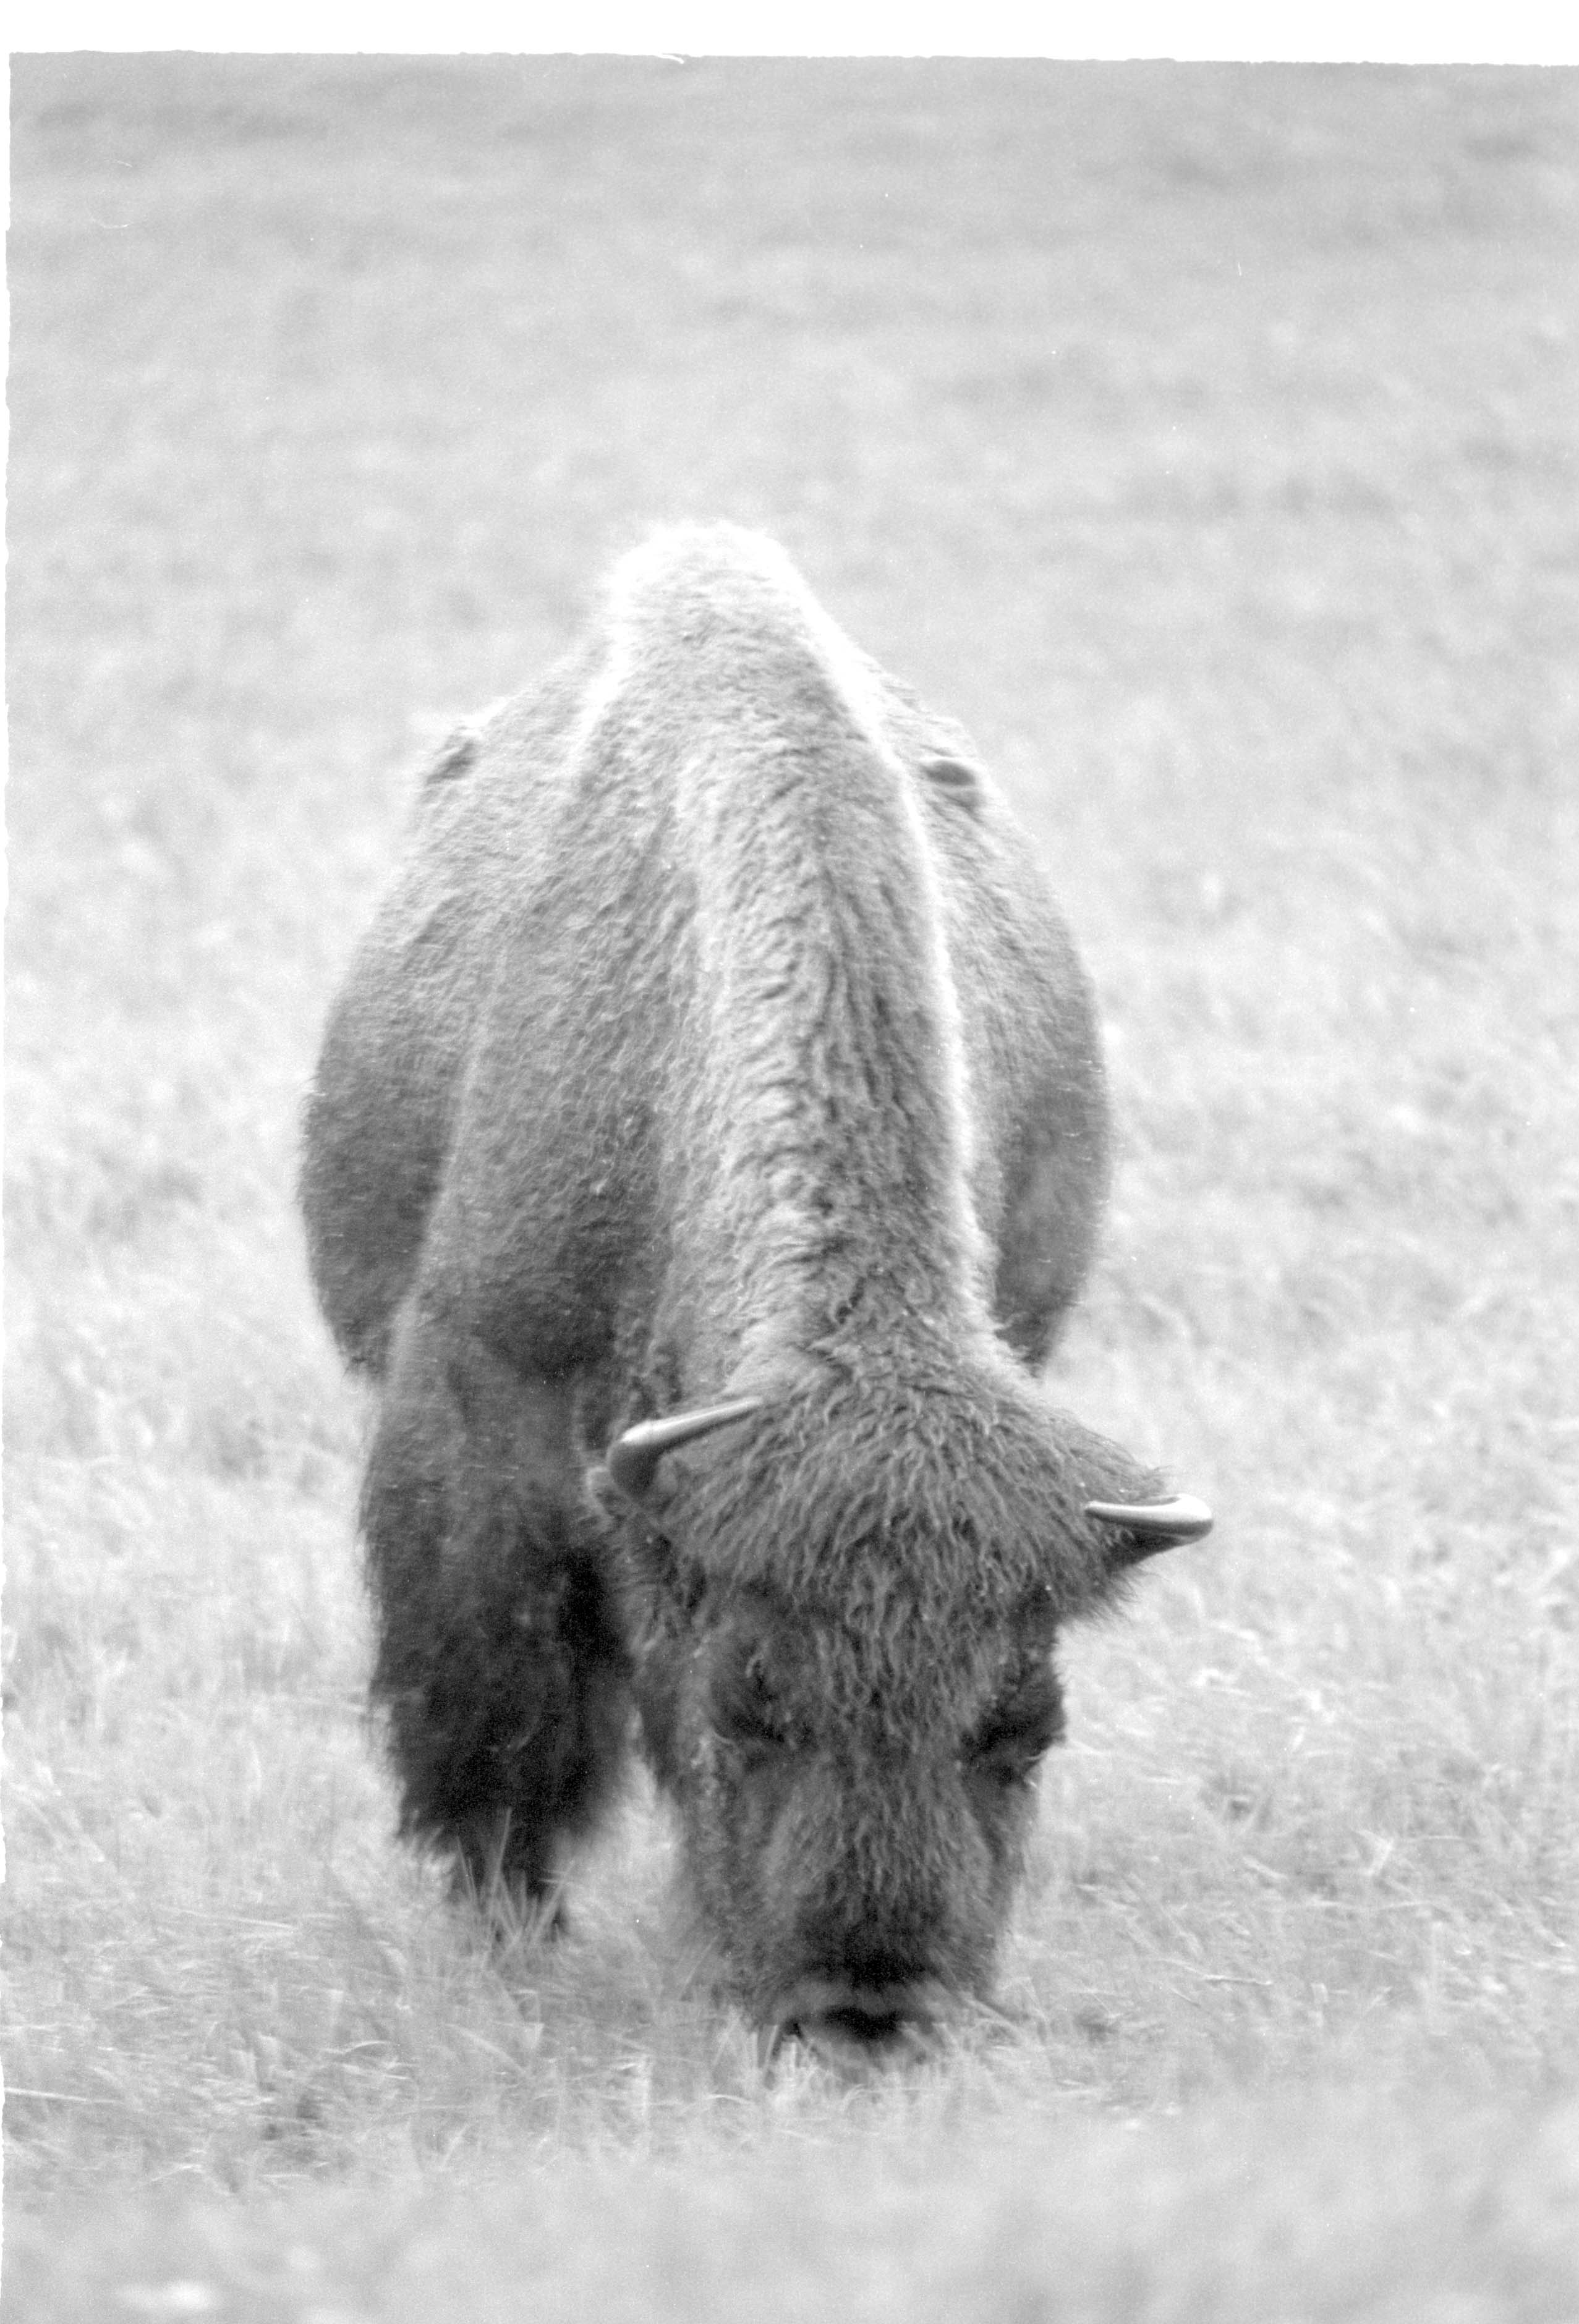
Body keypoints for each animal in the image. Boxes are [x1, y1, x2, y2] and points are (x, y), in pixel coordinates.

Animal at [300, 523, 1210, 2060]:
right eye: (749, 1709)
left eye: (1022, 1731)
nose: (867, 2010)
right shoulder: (486, 1407)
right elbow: (499, 1701)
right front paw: (508, 1932)